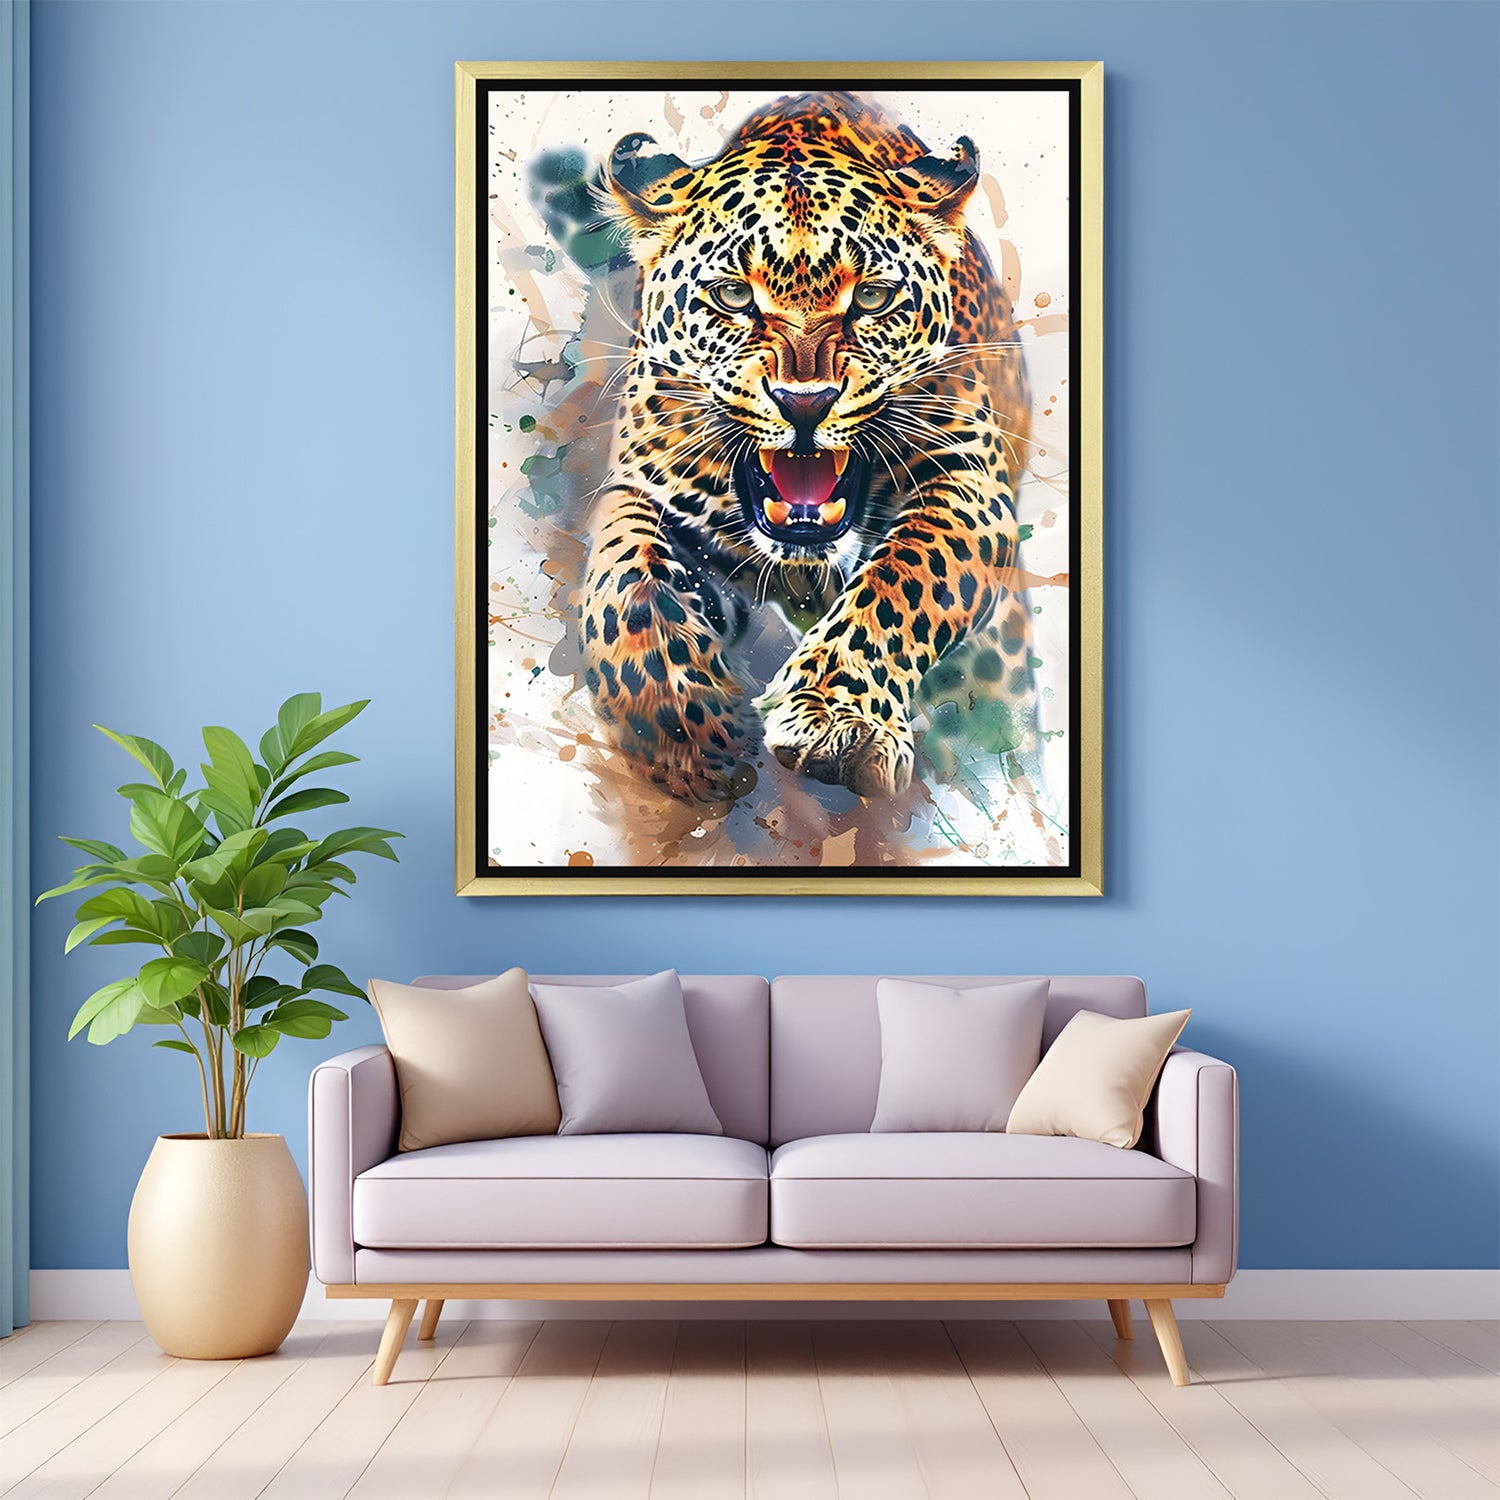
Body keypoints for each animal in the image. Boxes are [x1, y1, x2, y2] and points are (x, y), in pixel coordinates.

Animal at [578, 90, 1040, 805]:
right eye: (733, 295)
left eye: (872, 297)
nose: (804, 402)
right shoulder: (645, 481)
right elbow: (622, 580)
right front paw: (683, 725)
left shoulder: (970, 484)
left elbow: (905, 577)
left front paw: (836, 719)